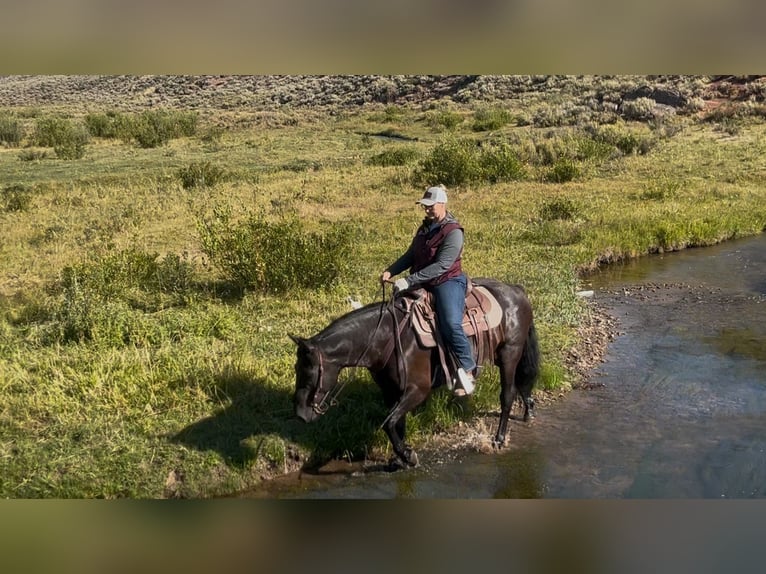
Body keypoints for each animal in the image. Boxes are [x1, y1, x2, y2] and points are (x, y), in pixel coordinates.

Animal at [290, 277, 540, 468]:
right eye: (296, 368)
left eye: (309, 371)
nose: (300, 415)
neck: (386, 338)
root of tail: (516, 291)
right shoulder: (390, 391)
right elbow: (395, 424)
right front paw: (400, 457)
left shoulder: (418, 390)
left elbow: (388, 423)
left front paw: (408, 455)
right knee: (522, 383)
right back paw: (528, 409)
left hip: (510, 354)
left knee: (507, 395)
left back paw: (498, 439)